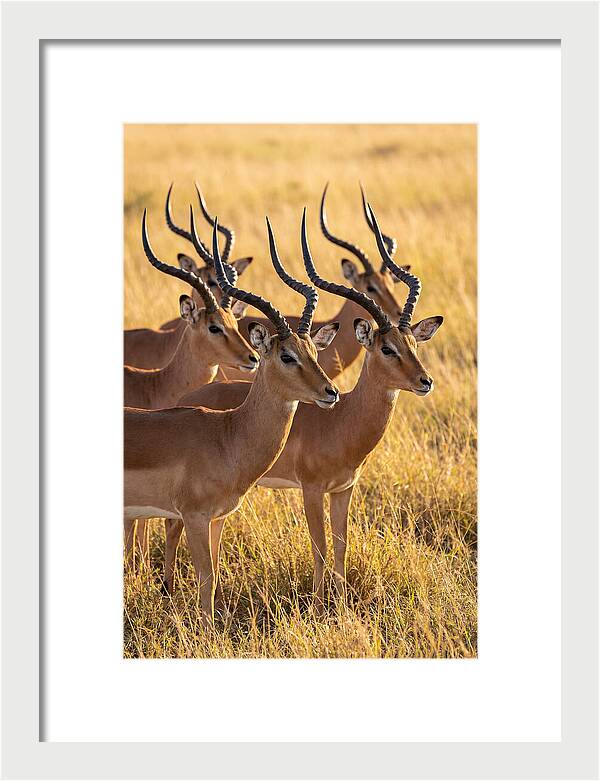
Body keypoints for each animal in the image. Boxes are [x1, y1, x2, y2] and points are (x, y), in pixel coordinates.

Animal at [172, 205, 443, 611]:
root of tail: (187, 400)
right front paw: (317, 607)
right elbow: (320, 548)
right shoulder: (311, 489)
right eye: (386, 348)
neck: (344, 420)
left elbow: (342, 546)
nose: (425, 381)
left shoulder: (344, 489)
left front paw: (341, 604)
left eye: (413, 343)